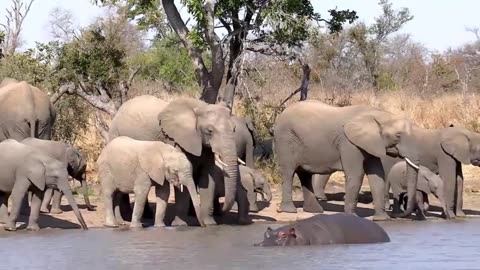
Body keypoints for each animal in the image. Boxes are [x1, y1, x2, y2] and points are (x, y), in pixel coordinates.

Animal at [106, 95, 238, 226]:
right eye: (209, 131)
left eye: (234, 129)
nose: (223, 210)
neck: (200, 107)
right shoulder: (174, 140)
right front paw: (180, 224)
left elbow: (207, 179)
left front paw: (210, 224)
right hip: (115, 134)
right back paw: (128, 217)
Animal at [274, 100, 420, 220]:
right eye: (398, 135)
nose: (397, 215)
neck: (377, 114)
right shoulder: (349, 143)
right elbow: (356, 175)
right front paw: (352, 217)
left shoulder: (371, 143)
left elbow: (377, 176)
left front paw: (382, 219)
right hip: (285, 139)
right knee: (289, 172)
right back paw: (290, 211)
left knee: (305, 174)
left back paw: (315, 210)